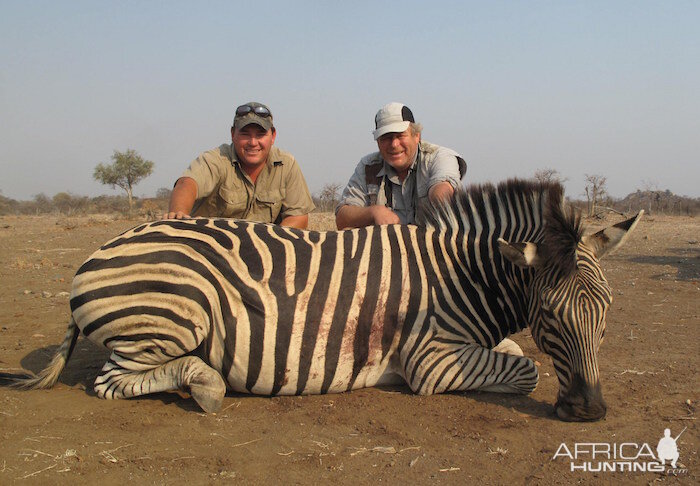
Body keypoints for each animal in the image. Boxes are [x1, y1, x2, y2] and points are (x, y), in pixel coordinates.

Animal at [4, 179, 640, 422]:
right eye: (551, 316)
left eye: (607, 314)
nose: (589, 411)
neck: (464, 276)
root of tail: (104, 248)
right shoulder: (431, 361)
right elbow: (527, 369)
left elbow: (514, 352)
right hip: (173, 315)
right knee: (114, 380)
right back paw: (205, 382)